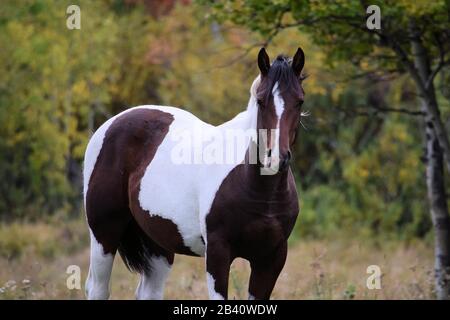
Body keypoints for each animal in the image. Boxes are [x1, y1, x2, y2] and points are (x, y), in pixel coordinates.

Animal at [83, 47, 306, 300]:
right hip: (103, 235)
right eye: (261, 100)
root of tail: (111, 123)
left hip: (158, 246)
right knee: (98, 288)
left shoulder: (271, 259)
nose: (275, 157)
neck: (257, 189)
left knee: (149, 291)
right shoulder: (218, 254)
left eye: (299, 101)